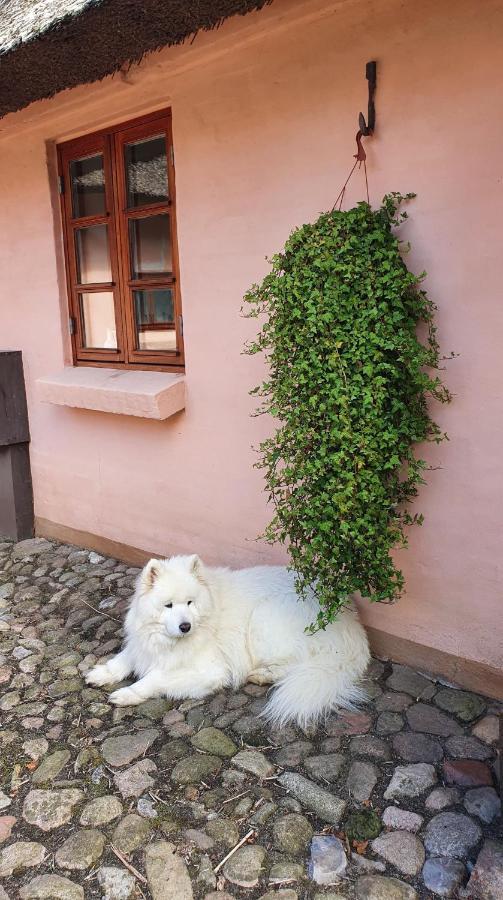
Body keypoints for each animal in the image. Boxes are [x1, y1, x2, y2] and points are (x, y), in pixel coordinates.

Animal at [86, 552, 370, 728]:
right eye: (168, 605)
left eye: (190, 603)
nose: (185, 626)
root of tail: (350, 619)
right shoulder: (144, 645)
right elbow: (123, 659)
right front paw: (101, 673)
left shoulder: (210, 671)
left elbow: (155, 678)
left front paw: (128, 694)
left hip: (263, 620)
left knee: (296, 665)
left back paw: (262, 675)